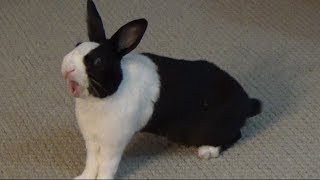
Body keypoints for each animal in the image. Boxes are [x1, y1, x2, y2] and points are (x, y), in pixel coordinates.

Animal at [60, 0, 262, 179]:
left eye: (97, 61)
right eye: (76, 45)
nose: (67, 68)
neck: (102, 97)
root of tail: (246, 103)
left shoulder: (113, 144)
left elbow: (106, 166)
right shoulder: (92, 142)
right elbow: (92, 163)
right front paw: (82, 178)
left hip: (208, 131)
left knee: (235, 135)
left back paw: (208, 151)